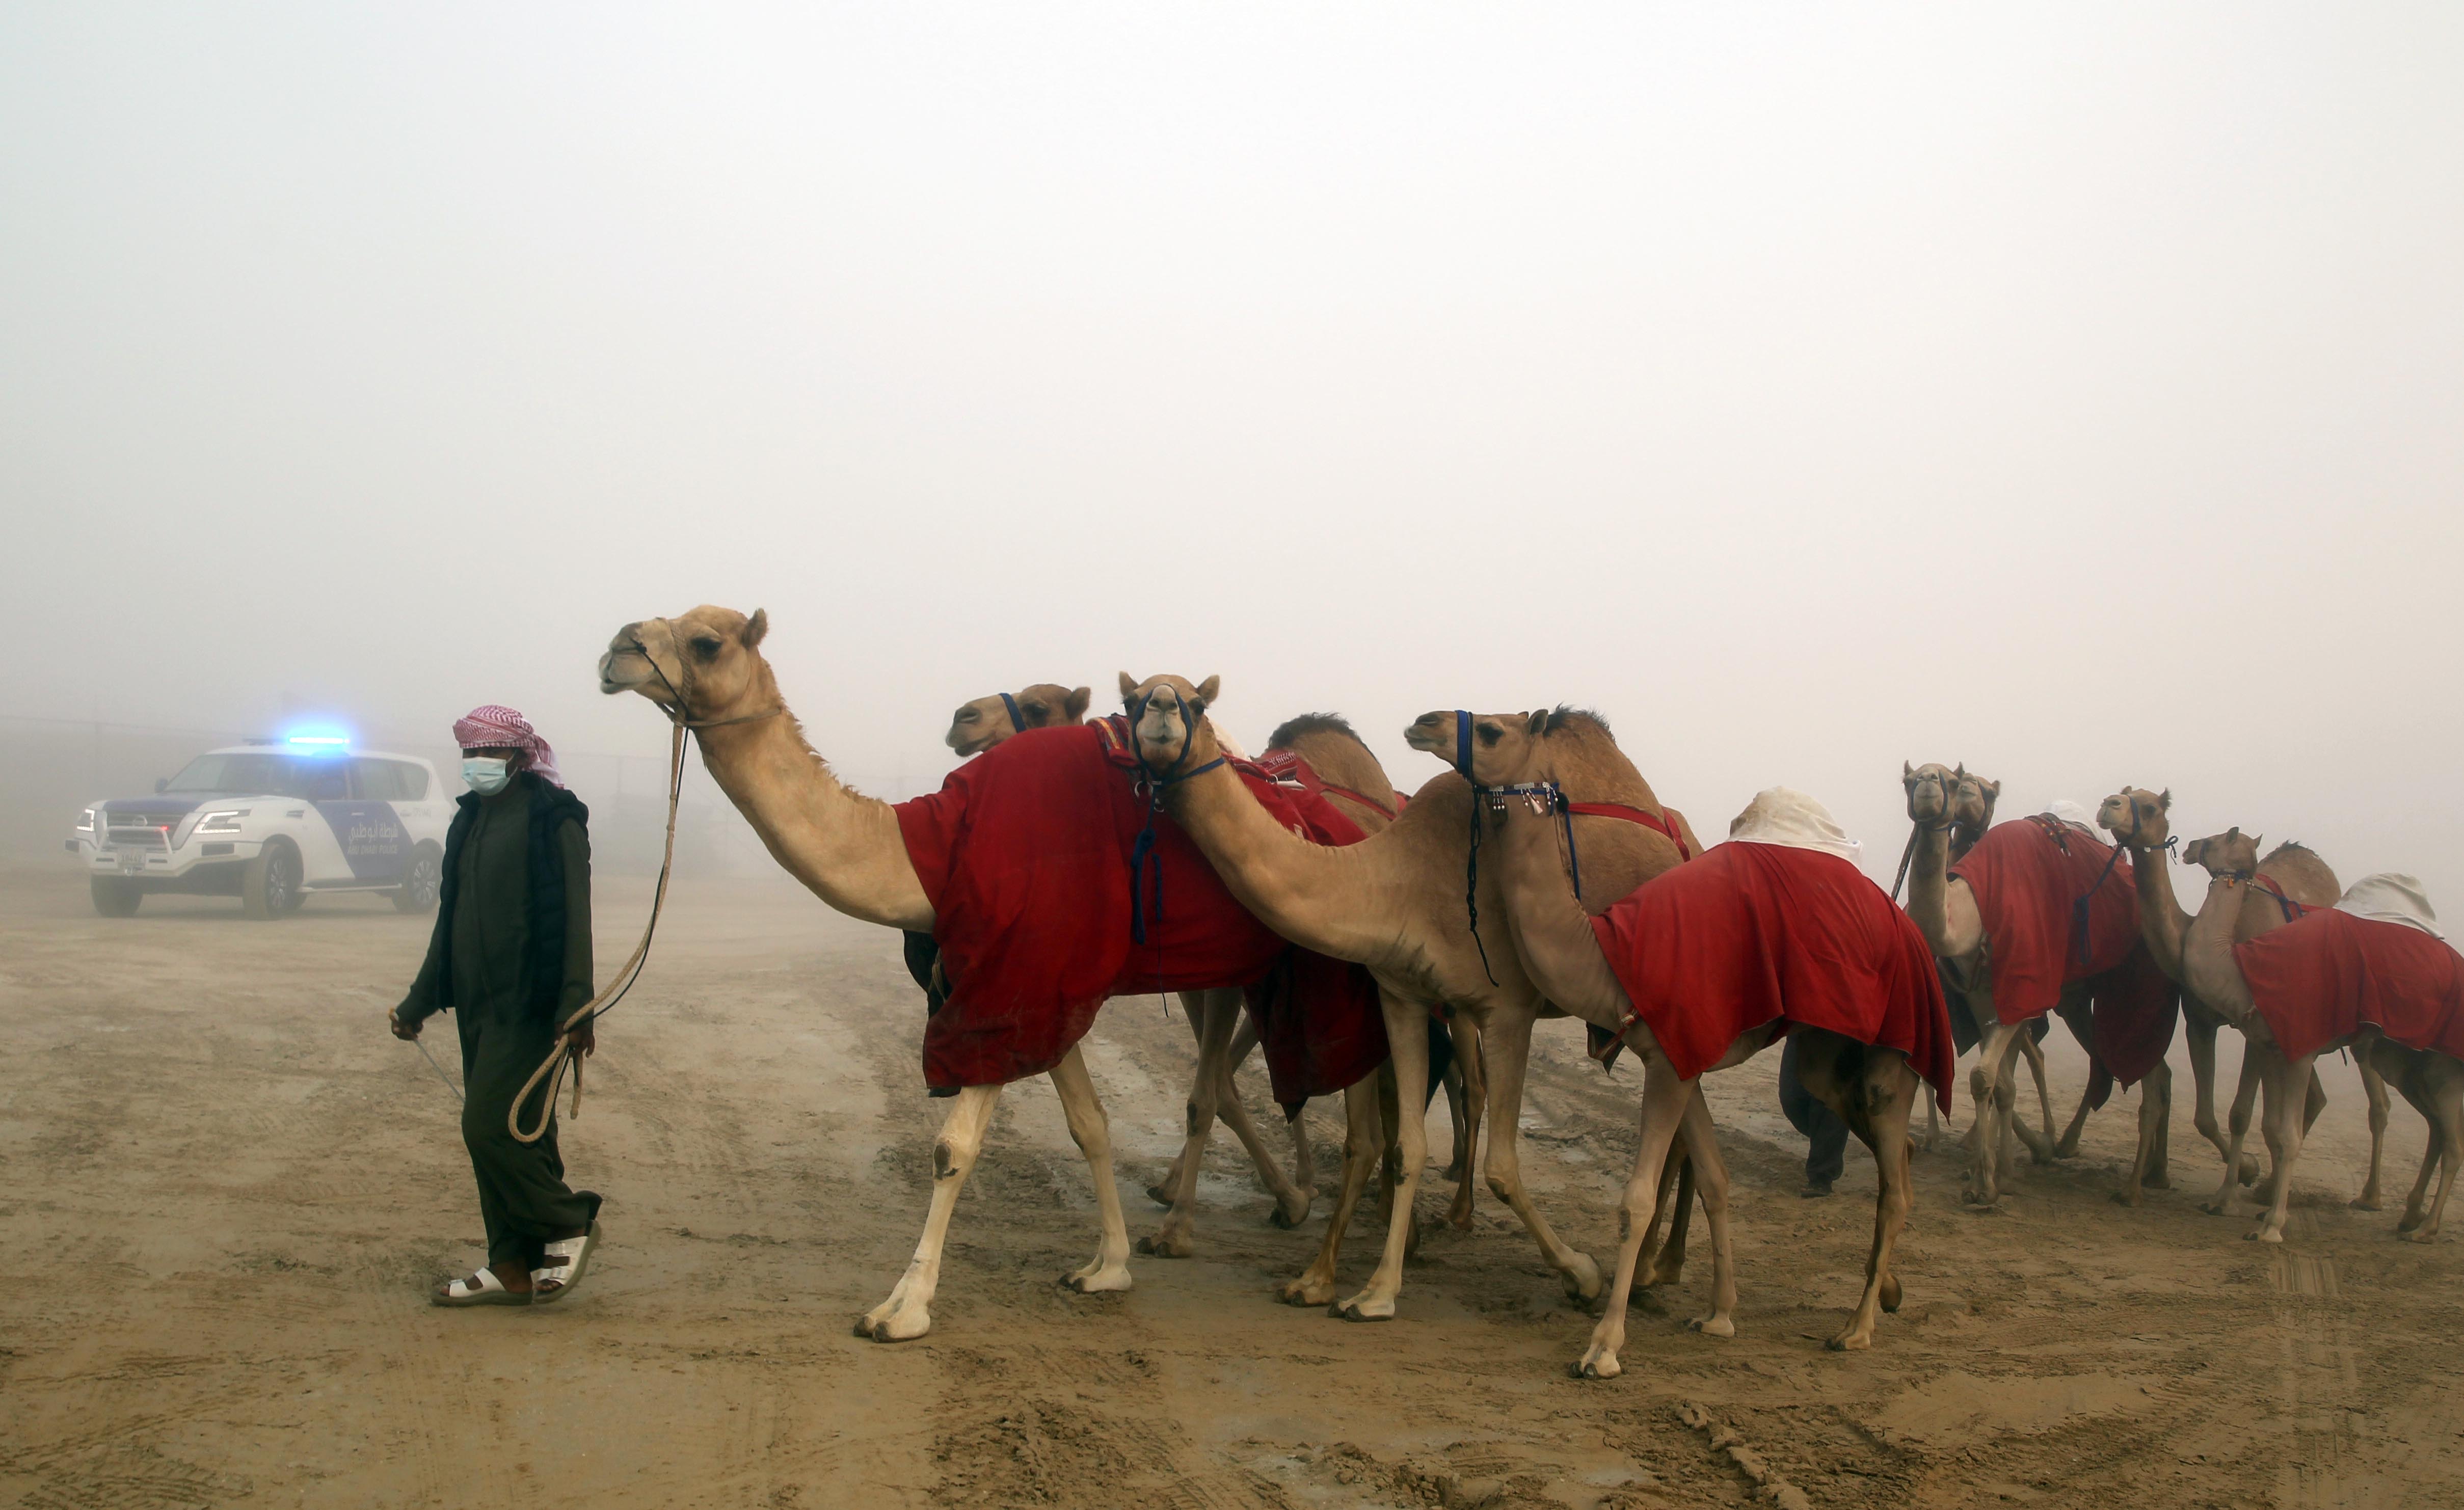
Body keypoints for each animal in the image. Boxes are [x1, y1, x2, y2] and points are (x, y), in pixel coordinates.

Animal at [1118, 675, 1695, 1310]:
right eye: (1131, 700)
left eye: (1197, 705)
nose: (1162, 712)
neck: (1398, 878)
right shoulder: (1401, 994)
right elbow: (1403, 1145)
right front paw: (1364, 1286)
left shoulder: (1505, 1010)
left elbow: (1491, 1162)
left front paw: (1581, 1273)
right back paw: (1655, 1269)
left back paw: (1647, 1274)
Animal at [1458, 729, 1941, 1369]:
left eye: (1494, 732)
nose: (1424, 723)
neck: (1608, 953)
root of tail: (1911, 931)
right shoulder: (1678, 1056)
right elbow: (1715, 1177)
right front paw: (1718, 1316)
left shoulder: (1671, 1061)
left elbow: (1638, 1198)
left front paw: (1604, 1346)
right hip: (1829, 1048)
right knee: (1882, 1140)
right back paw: (1885, 1288)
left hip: (1895, 1042)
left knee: (1897, 1187)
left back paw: (1856, 1328)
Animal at [2089, 788, 2375, 1211]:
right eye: (2125, 794)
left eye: (2151, 806)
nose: (2110, 805)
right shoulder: (2200, 1022)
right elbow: (2205, 1116)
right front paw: (2245, 1173)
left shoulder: (2253, 1027)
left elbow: (2240, 1113)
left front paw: (2233, 1187)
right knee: (2316, 1099)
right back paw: (2272, 1188)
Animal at [2178, 832, 2464, 1241]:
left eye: (2218, 839)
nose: (2189, 845)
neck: (2244, 972)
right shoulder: (2273, 1047)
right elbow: (2271, 1127)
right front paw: (2241, 1205)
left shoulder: (2301, 1052)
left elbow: (2289, 1134)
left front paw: (2271, 1227)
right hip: (2409, 1066)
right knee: (2436, 1129)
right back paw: (2409, 1216)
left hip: (2443, 1067)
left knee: (2451, 1144)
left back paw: (2422, 1228)